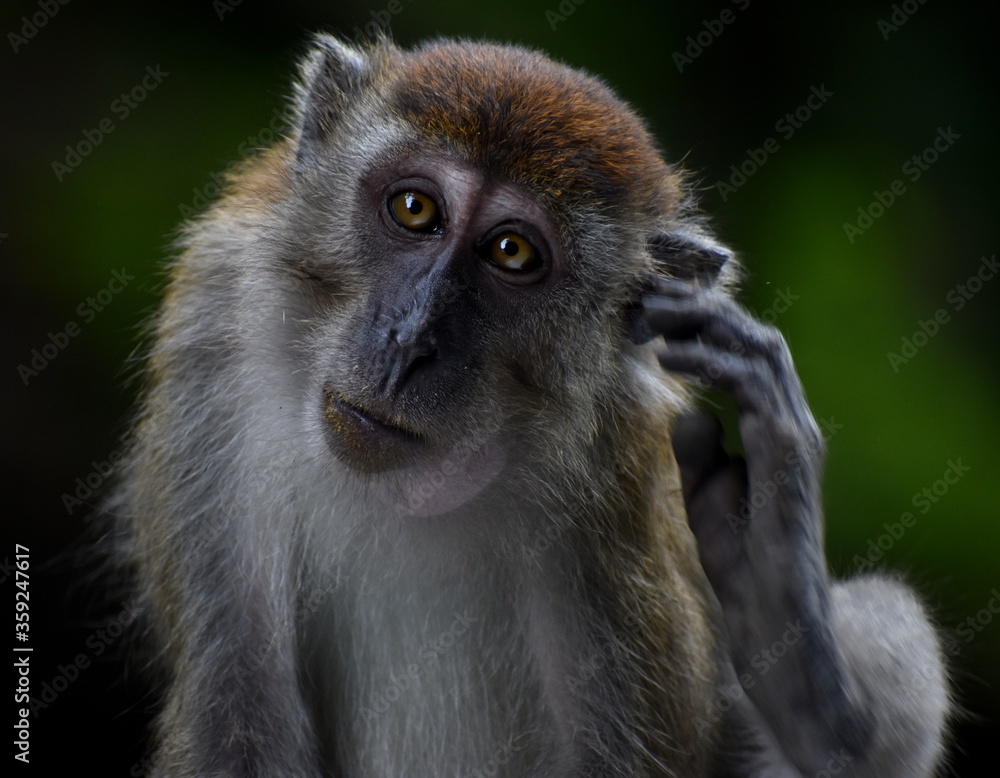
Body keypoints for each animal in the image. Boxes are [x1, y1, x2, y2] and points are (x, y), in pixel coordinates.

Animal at [109, 35, 949, 777]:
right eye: (414, 208)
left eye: (512, 253)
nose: (409, 341)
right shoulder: (218, 335)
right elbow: (239, 707)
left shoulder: (611, 477)